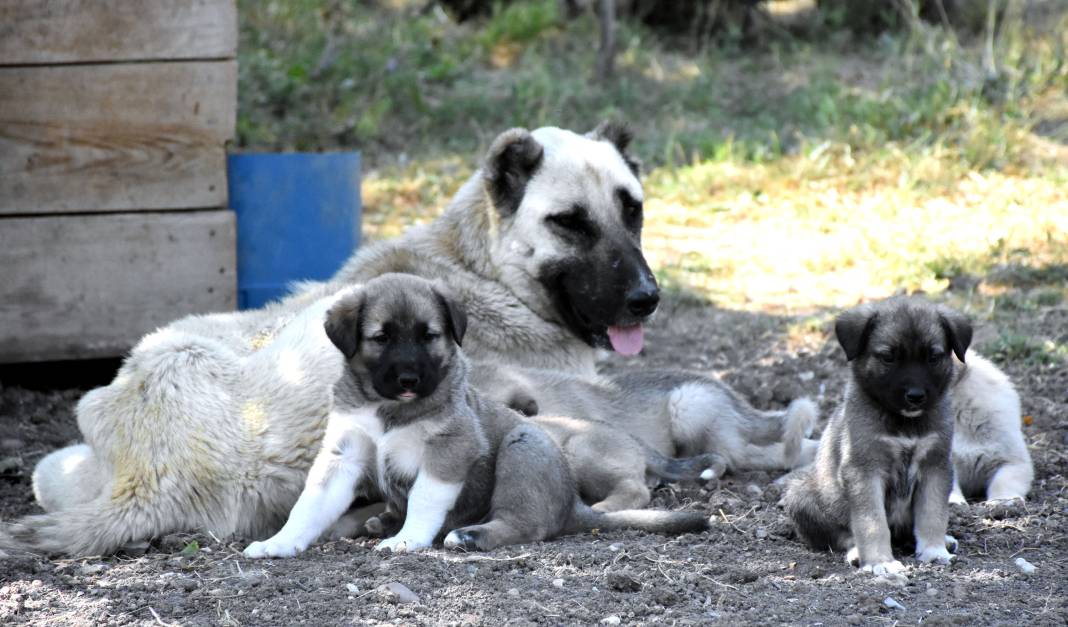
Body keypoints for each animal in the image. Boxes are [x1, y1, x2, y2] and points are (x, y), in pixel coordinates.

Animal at [243, 275, 709, 559]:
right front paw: (279, 542)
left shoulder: (448, 451)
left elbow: (425, 499)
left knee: (526, 525)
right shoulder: (344, 453)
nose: (410, 378)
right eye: (381, 338)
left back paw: (468, 534)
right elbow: (309, 505)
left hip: (525, 447)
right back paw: (384, 520)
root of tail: (574, 507)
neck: (387, 408)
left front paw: (408, 539)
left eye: (429, 336)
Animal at [781, 296, 974, 576]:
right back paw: (855, 553)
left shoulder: (935, 465)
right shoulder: (864, 470)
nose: (915, 396)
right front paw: (880, 562)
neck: (904, 423)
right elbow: (871, 522)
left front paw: (934, 550)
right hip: (801, 495)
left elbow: (933, 513)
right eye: (888, 357)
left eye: (933, 357)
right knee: (842, 535)